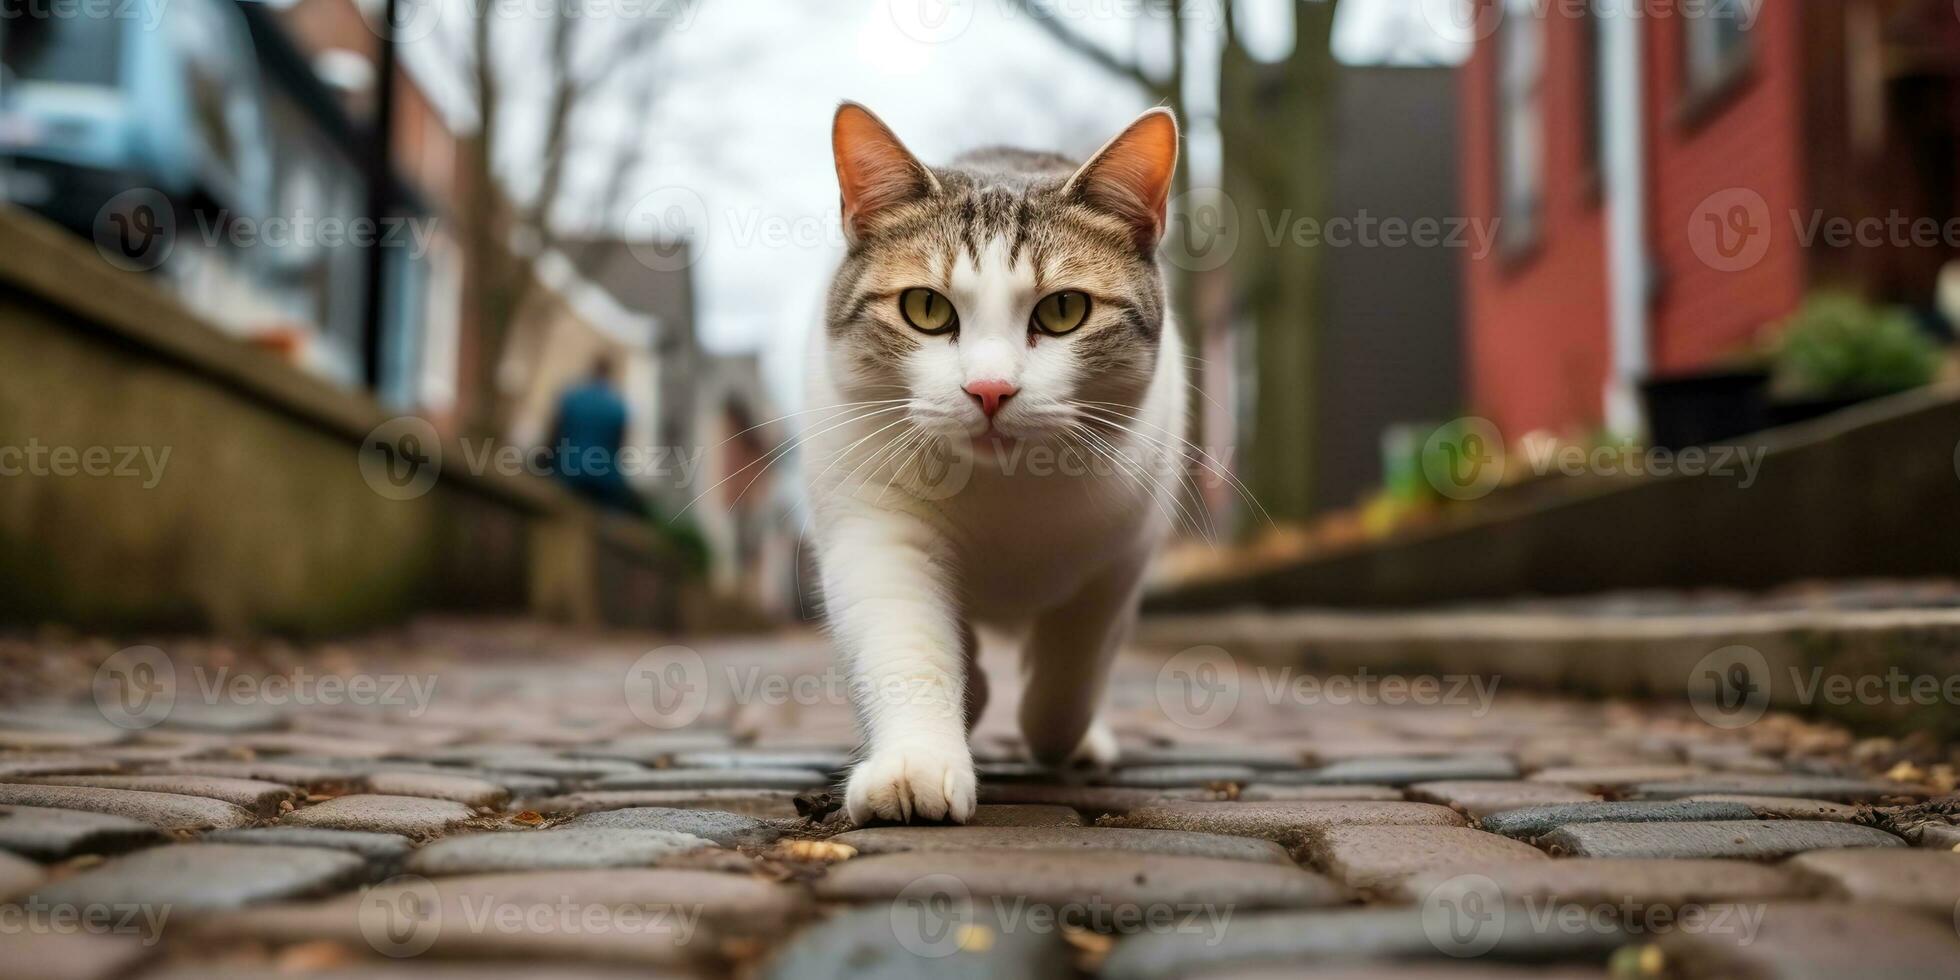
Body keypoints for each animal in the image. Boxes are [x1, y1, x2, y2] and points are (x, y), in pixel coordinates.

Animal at [803, 99, 1183, 823]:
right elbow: (907, 646)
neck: (1005, 496)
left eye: (1064, 310)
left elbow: (1070, 671)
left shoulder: (1121, 557)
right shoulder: (880, 530)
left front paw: (1056, 733)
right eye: (925, 307)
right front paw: (917, 763)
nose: (989, 389)